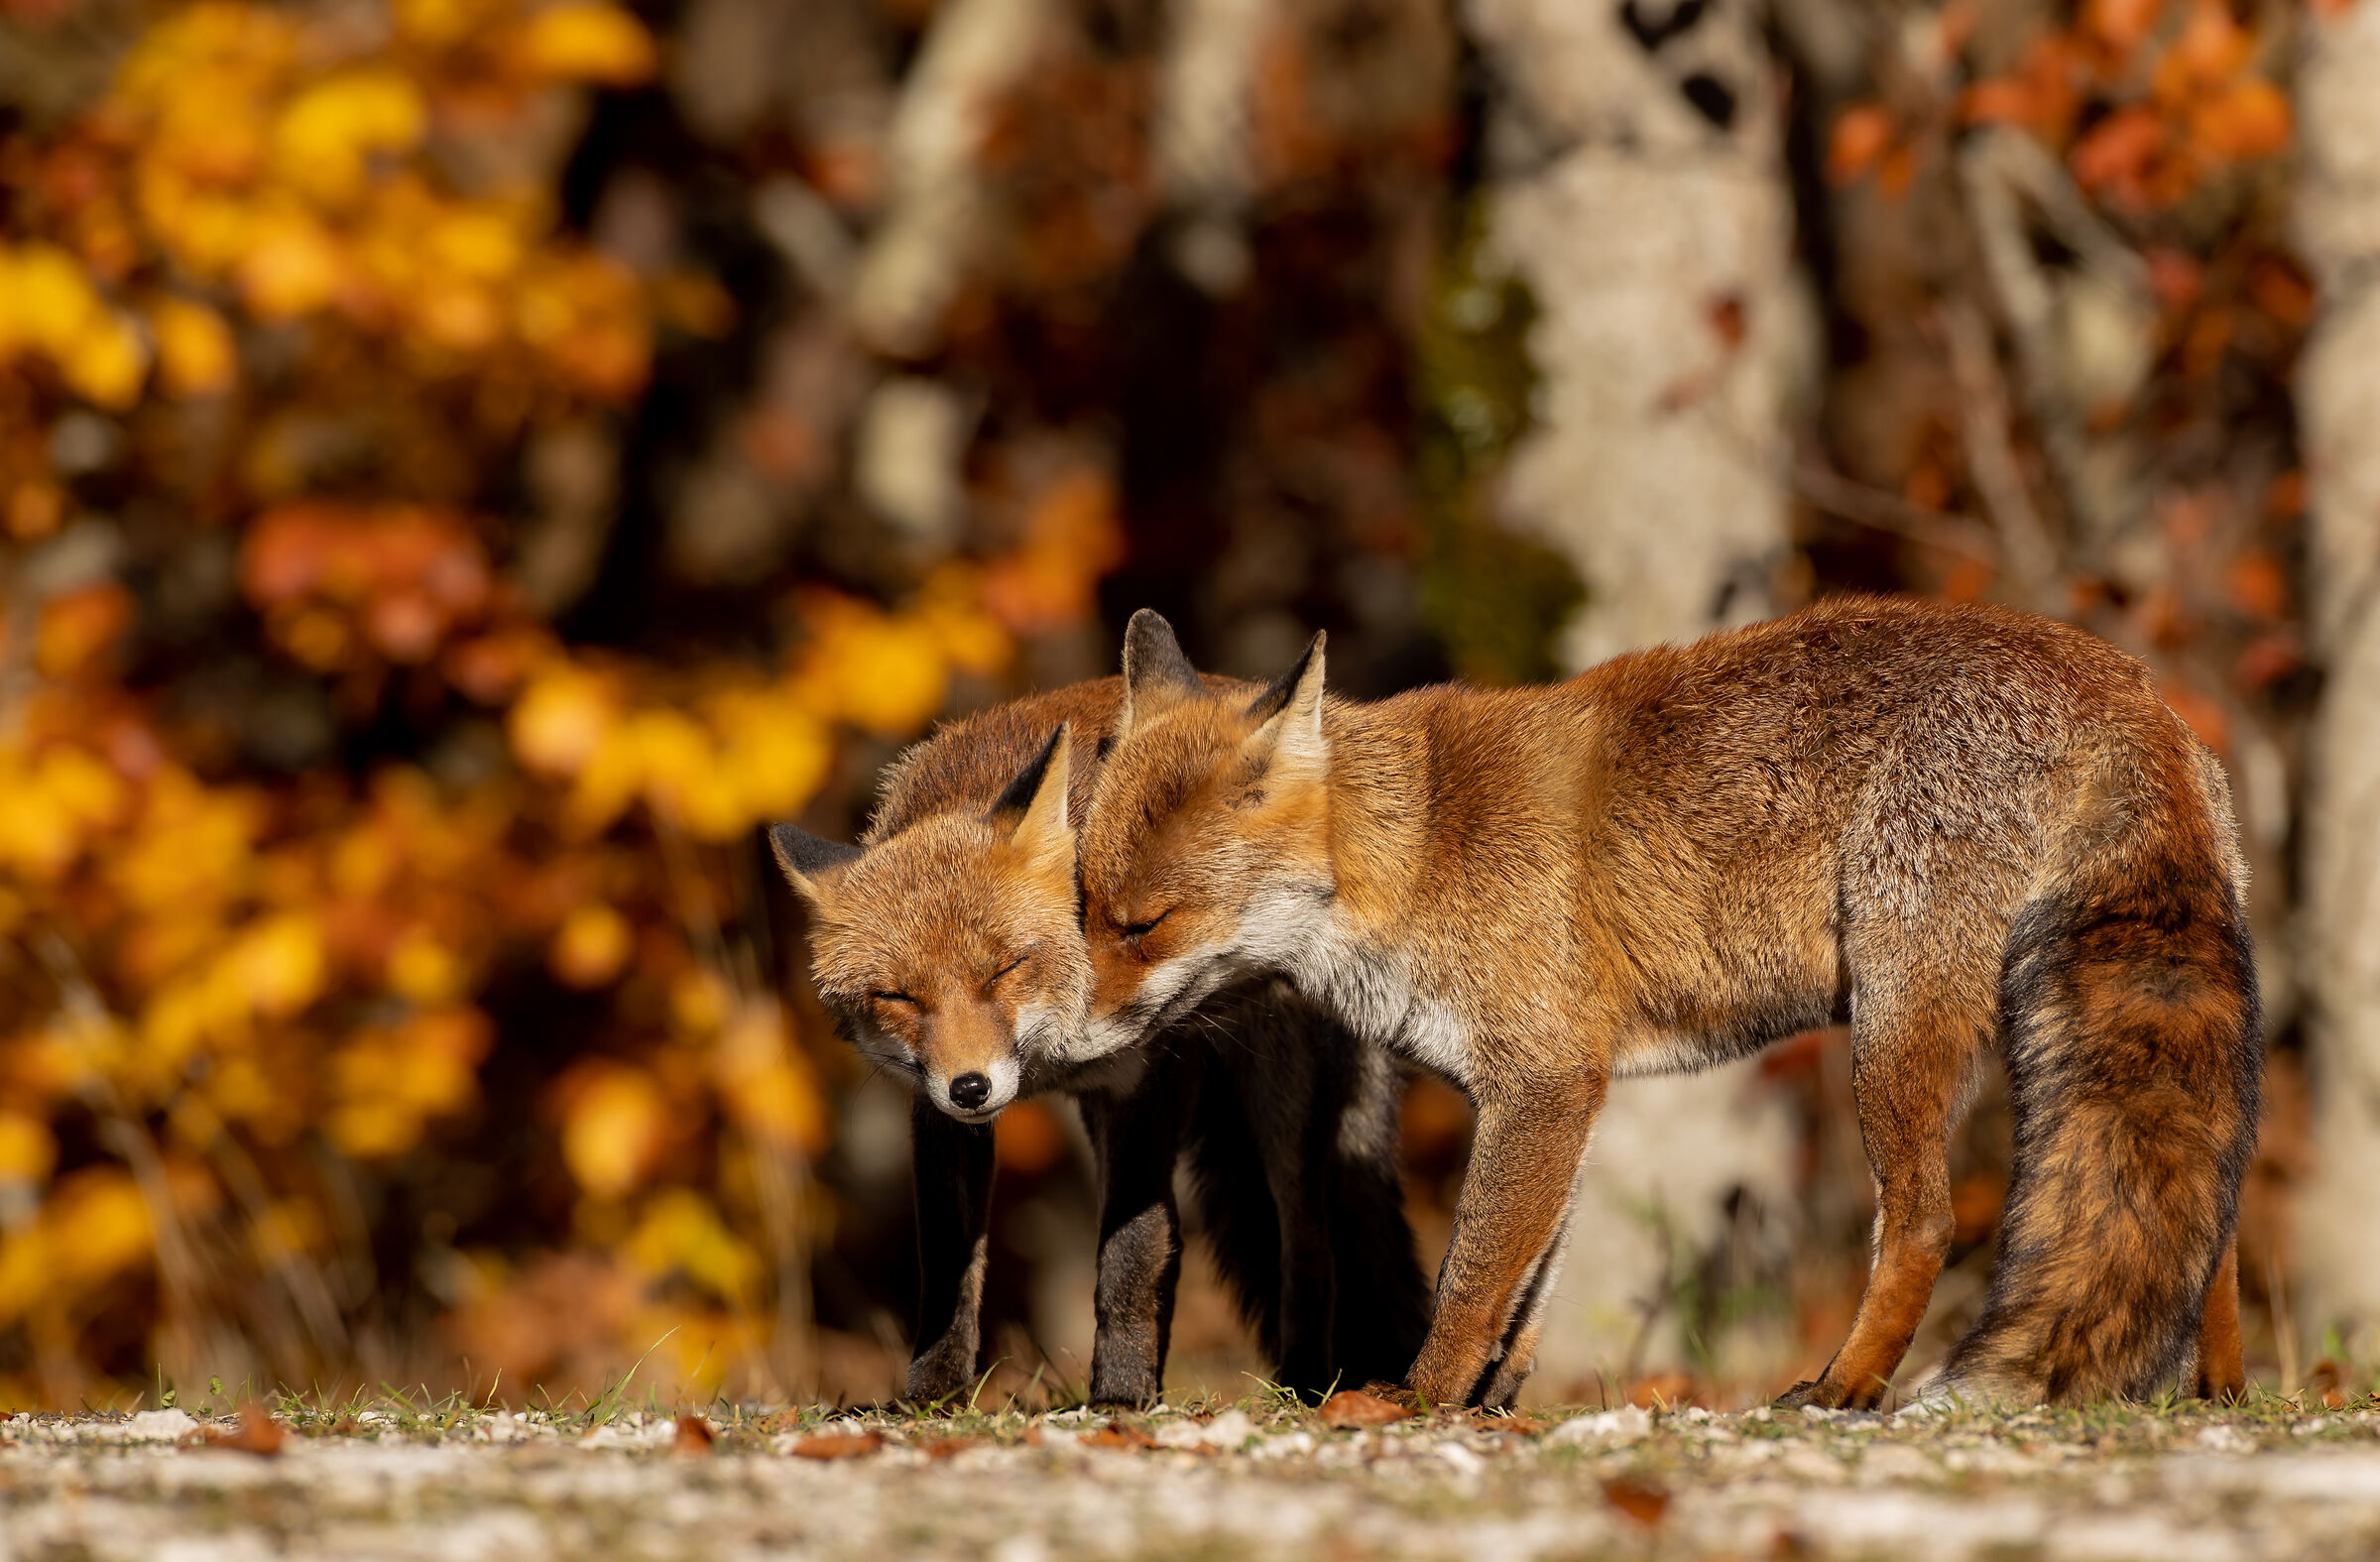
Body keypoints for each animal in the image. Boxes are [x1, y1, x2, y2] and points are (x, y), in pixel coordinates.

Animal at [768, 677, 1428, 1405]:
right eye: (899, 998)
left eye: (1003, 969)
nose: (970, 1086)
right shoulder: (938, 1112)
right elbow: (947, 1263)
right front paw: (933, 1394)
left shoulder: (1145, 1082)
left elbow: (1132, 1256)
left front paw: (1121, 1392)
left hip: (1286, 1113)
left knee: (1308, 1245)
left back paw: (1306, 1383)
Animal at [1073, 595, 2260, 1410]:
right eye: (1082, 903)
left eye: (1143, 925)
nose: (1067, 1044)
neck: (1415, 856)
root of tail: (2122, 683)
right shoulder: (1571, 1093)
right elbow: (1530, 1292)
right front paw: (1490, 1409)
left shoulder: (1543, 1085)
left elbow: (1471, 1280)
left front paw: (1416, 1402)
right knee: (2210, 1222)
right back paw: (2214, 1397)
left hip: (1898, 1029)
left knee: (1925, 1221)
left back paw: (1845, 1388)